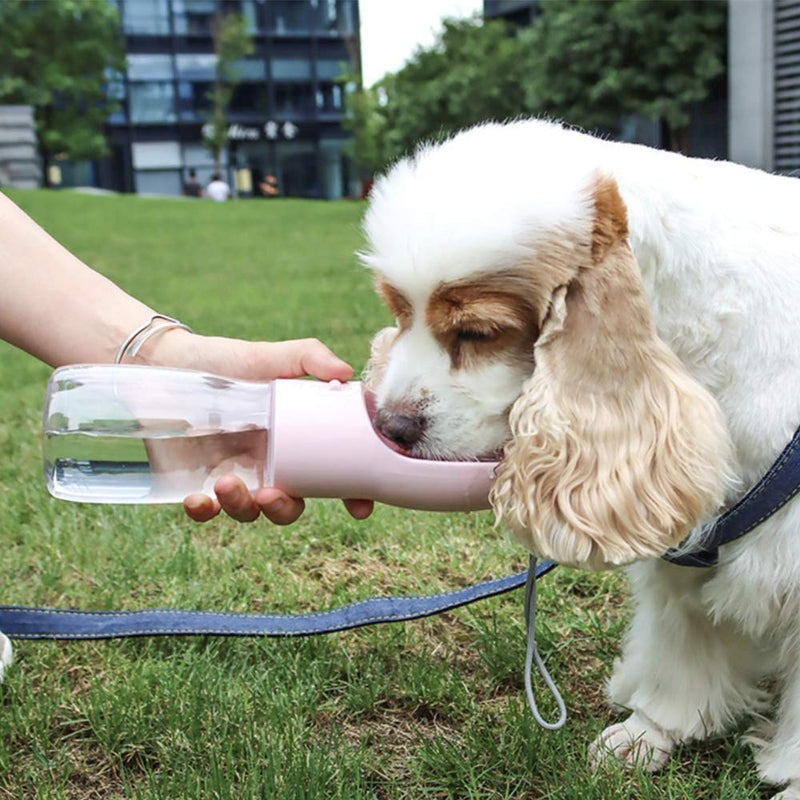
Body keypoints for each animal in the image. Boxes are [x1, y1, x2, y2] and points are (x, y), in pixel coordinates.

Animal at [362, 120, 800, 800]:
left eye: (478, 332)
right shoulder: (684, 542)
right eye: (400, 312)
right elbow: (682, 653)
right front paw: (648, 734)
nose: (391, 426)